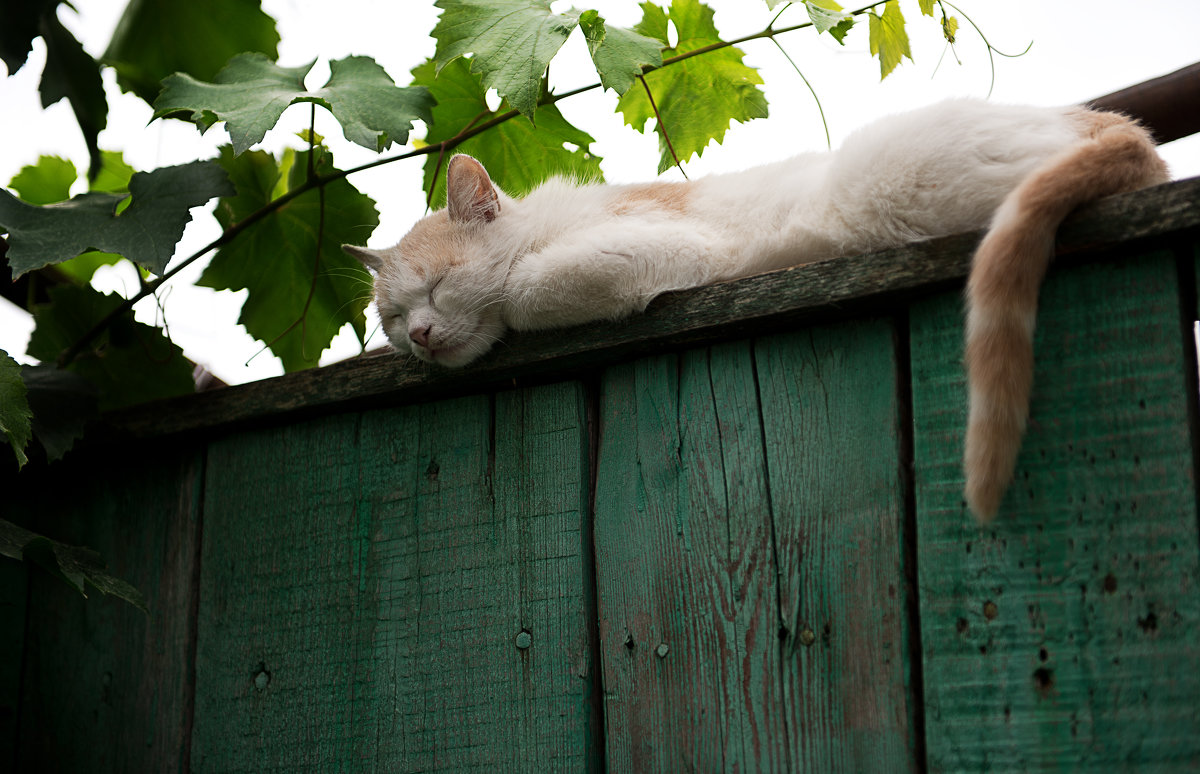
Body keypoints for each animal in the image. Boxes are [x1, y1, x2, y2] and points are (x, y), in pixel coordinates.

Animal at [343, 96, 1166, 518]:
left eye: (439, 288)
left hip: (876, 181)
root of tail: (1120, 126)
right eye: (394, 319)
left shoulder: (674, 250)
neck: (544, 224)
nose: (420, 334)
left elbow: (524, 289)